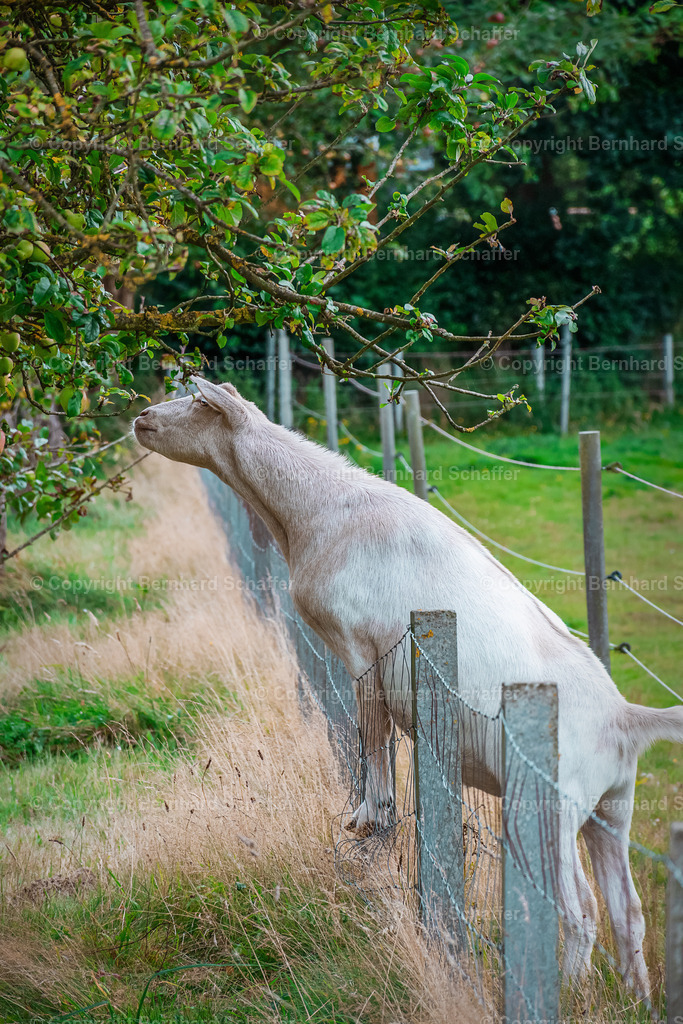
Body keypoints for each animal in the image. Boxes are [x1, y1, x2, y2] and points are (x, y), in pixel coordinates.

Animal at [133, 377, 683, 1000]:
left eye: (199, 402)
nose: (142, 417)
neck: (316, 512)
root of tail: (627, 719)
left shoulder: (359, 645)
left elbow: (373, 733)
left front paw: (368, 817)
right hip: (611, 806)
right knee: (628, 911)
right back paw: (635, 999)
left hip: (551, 804)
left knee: (581, 909)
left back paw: (562, 990)